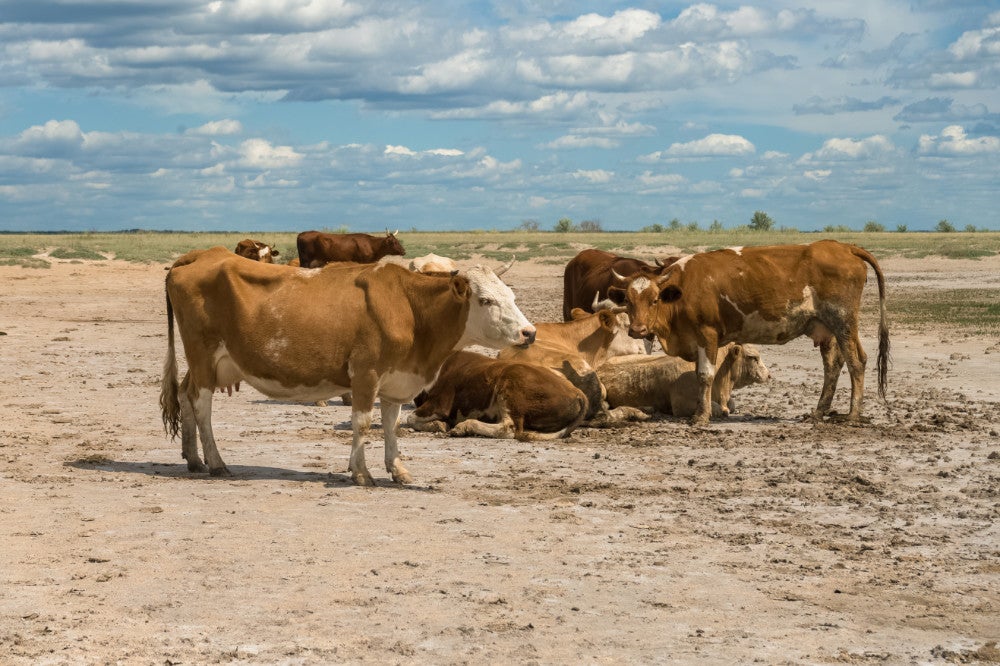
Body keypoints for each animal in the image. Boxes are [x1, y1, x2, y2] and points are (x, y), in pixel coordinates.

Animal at [162, 246, 540, 486]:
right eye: (485, 300)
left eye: (511, 296)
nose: (529, 332)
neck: (410, 308)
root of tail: (203, 254)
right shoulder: (365, 373)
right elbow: (363, 422)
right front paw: (361, 472)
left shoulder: (395, 380)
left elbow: (391, 425)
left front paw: (397, 469)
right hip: (203, 353)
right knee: (201, 405)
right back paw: (216, 462)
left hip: (206, 363)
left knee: (184, 395)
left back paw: (193, 458)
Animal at [410, 350, 588, 438]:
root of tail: (577, 391)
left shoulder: (439, 404)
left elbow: (410, 418)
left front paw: (439, 424)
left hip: (510, 386)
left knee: (509, 428)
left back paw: (464, 427)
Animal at [596, 344, 768, 418]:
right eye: (753, 357)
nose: (768, 375)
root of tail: (600, 366)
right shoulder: (682, 404)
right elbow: (718, 409)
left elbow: (731, 405)